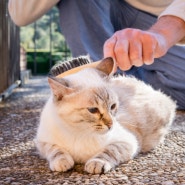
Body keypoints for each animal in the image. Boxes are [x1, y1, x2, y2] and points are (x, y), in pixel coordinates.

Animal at [35, 57, 176, 174]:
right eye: (93, 110)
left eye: (112, 107)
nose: (110, 124)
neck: (78, 131)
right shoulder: (42, 142)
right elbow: (55, 150)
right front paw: (62, 162)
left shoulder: (127, 141)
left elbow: (109, 151)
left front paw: (97, 163)